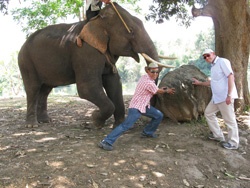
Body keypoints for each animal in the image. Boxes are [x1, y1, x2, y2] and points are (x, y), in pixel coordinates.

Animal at [18, 2, 174, 128]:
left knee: (45, 90)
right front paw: (95, 120)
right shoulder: (85, 52)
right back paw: (32, 125)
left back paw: (45, 121)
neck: (97, 21)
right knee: (33, 89)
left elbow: (114, 83)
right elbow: (87, 88)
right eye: (131, 31)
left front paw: (118, 124)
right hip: (26, 62)